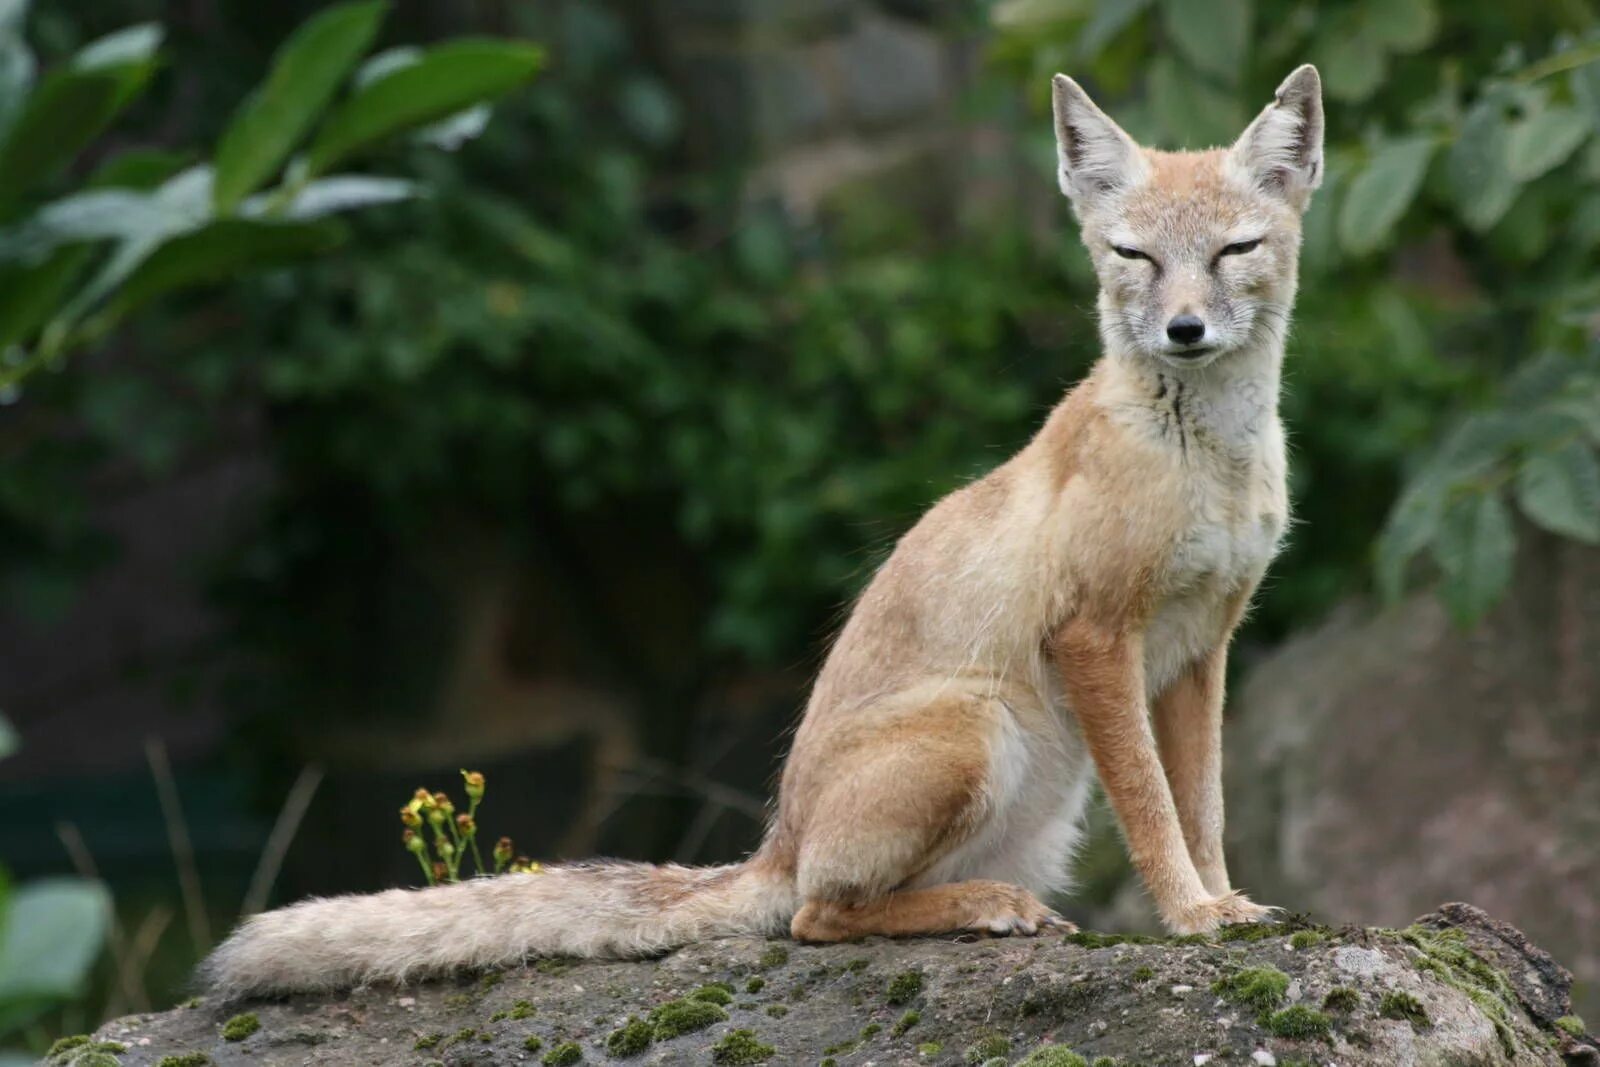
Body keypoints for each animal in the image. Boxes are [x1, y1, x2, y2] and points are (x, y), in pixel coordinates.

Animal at [200, 64, 1324, 1004]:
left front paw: (1224, 904)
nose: (1184, 330)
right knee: (816, 917)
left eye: (1234, 250)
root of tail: (776, 840)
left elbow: (1202, 807)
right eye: (1134, 256)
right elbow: (1156, 811)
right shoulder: (1096, 636)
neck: (1210, 465)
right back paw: (978, 909)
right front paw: (1188, 916)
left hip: (1042, 794)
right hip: (978, 726)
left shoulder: (1200, 649)